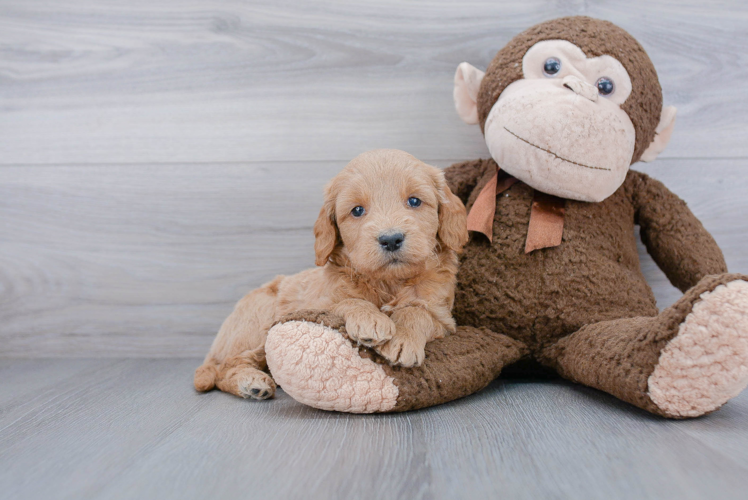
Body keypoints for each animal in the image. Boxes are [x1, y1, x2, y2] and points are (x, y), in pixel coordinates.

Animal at [193, 148, 468, 398]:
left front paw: (403, 338)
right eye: (357, 210)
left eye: (414, 201)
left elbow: (417, 312)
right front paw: (370, 320)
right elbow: (346, 302)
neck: (388, 282)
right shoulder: (317, 303)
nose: (391, 239)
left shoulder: (443, 317)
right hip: (259, 321)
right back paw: (251, 382)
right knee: (225, 368)